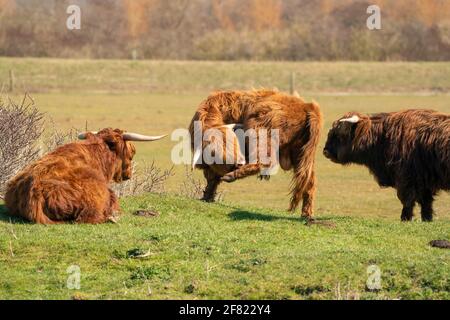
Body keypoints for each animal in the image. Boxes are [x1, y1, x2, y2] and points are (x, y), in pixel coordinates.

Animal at [188, 90, 322, 220]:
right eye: (215, 153)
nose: (239, 163)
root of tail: (307, 106)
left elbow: (212, 177)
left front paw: (207, 196)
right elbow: (212, 179)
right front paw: (207, 197)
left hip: (259, 129)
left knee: (263, 162)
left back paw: (231, 176)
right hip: (301, 155)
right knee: (309, 181)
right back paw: (306, 214)